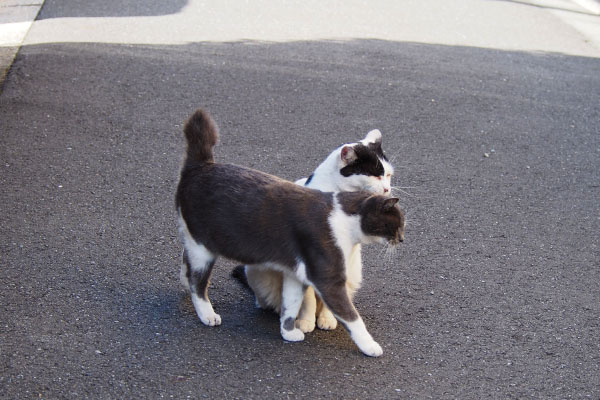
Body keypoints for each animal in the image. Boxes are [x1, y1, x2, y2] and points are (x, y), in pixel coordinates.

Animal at [237, 130, 396, 332]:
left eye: (388, 175)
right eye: (375, 176)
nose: (387, 189)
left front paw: (327, 319)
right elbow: (308, 300)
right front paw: (306, 321)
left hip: (354, 272)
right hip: (256, 270)